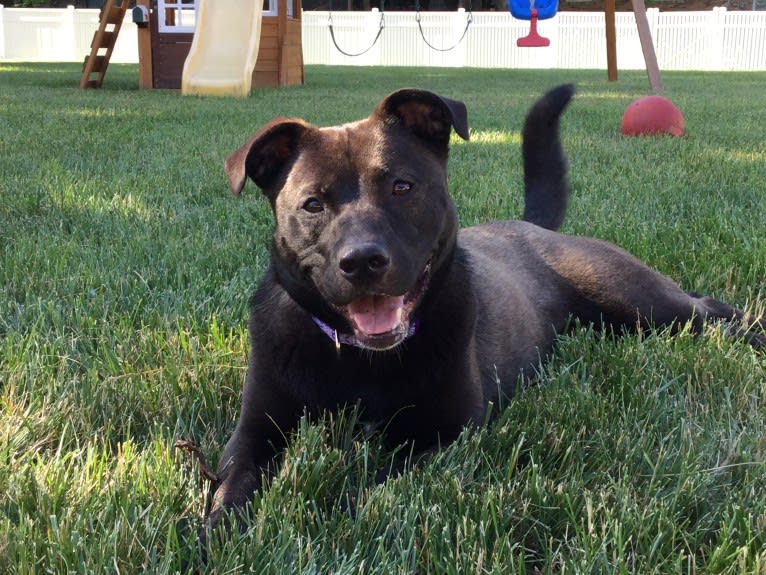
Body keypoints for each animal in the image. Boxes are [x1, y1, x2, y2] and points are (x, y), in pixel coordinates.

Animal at [207, 83, 764, 528]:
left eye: (402, 186)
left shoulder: (445, 435)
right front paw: (219, 533)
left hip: (639, 300)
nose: (362, 261)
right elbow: (229, 484)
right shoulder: (253, 433)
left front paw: (326, 510)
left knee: (708, 308)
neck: (359, 360)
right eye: (312, 204)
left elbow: (372, 480)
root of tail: (530, 225)